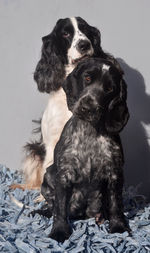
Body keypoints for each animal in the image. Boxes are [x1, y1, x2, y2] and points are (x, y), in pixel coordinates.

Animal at [31, 58, 130, 242]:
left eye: (109, 89)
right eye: (87, 79)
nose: (87, 107)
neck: (90, 132)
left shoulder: (115, 172)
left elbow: (116, 203)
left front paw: (119, 227)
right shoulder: (64, 173)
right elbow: (60, 208)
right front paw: (59, 231)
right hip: (48, 176)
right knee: (52, 205)